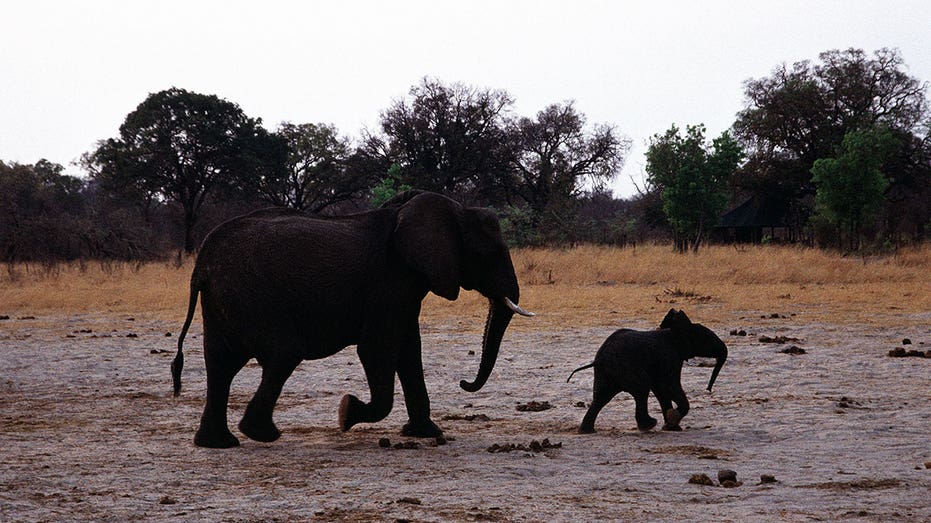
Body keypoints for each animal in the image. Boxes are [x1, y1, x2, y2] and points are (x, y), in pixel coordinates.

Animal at [168, 190, 532, 448]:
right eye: (491, 252)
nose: (464, 383)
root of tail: (202, 262)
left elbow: (409, 351)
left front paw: (426, 433)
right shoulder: (389, 282)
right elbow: (378, 349)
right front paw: (346, 413)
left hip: (224, 299)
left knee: (220, 364)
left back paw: (217, 444)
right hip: (252, 294)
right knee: (282, 353)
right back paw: (262, 434)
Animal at [568, 312, 728, 434]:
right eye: (706, 338)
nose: (708, 389)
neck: (672, 331)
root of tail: (600, 359)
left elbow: (661, 391)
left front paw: (671, 426)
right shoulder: (669, 357)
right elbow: (668, 386)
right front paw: (672, 420)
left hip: (606, 374)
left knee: (601, 397)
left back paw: (586, 431)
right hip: (626, 368)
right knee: (641, 389)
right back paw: (648, 425)